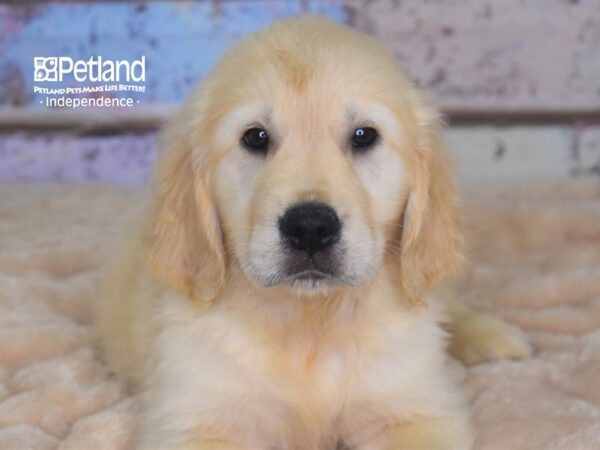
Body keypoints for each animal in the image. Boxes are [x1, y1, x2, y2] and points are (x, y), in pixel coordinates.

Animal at [96, 16, 532, 450]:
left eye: (364, 135)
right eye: (255, 137)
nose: (309, 227)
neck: (311, 322)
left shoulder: (412, 409)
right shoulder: (198, 419)